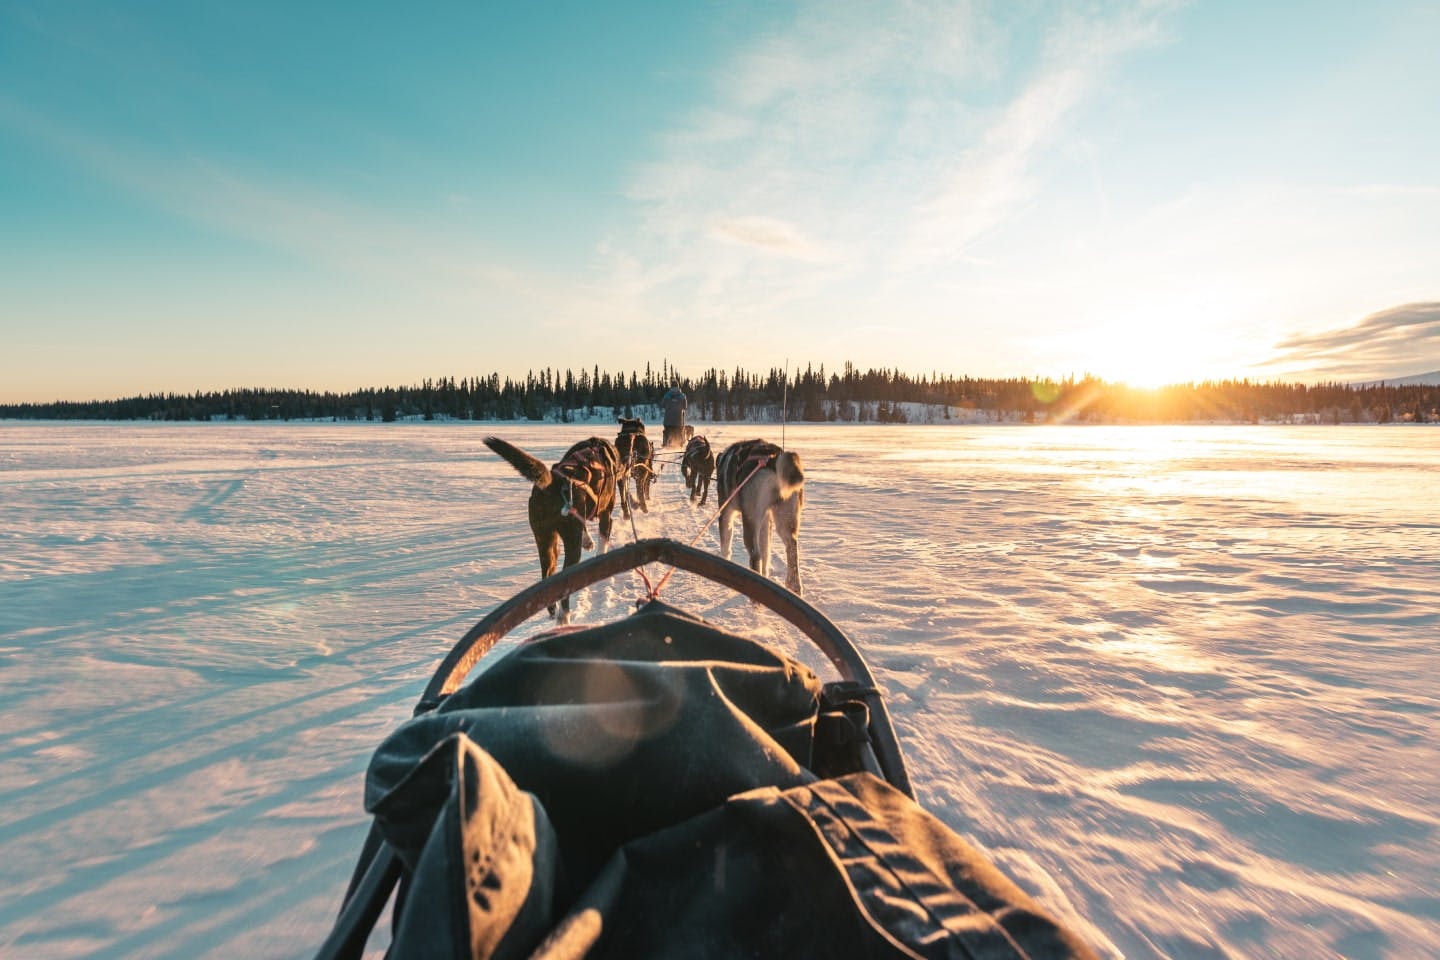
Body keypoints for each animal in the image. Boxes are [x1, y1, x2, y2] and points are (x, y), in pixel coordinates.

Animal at [483, 437, 619, 624]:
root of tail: (555, 482)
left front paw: (588, 541)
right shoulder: (606, 516)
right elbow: (602, 544)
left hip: (545, 539)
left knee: (547, 575)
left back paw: (553, 609)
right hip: (568, 543)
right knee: (564, 583)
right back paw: (564, 617)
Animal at [714, 440, 806, 592]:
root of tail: (773, 457)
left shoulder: (726, 514)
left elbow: (725, 548)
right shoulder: (765, 520)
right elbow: (766, 552)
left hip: (750, 520)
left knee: (755, 555)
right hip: (785, 519)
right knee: (790, 546)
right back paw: (793, 586)